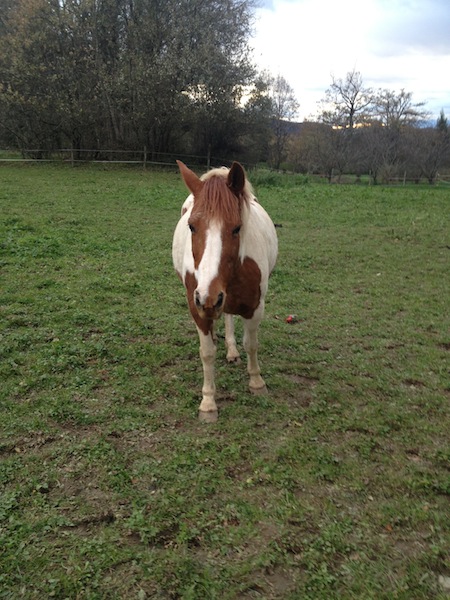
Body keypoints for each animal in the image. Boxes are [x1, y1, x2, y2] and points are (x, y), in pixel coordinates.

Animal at [172, 159, 278, 422]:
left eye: (237, 228)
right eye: (192, 226)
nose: (207, 297)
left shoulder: (255, 306)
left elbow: (251, 344)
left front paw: (257, 382)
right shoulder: (197, 308)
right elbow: (207, 352)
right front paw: (208, 403)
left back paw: (231, 350)